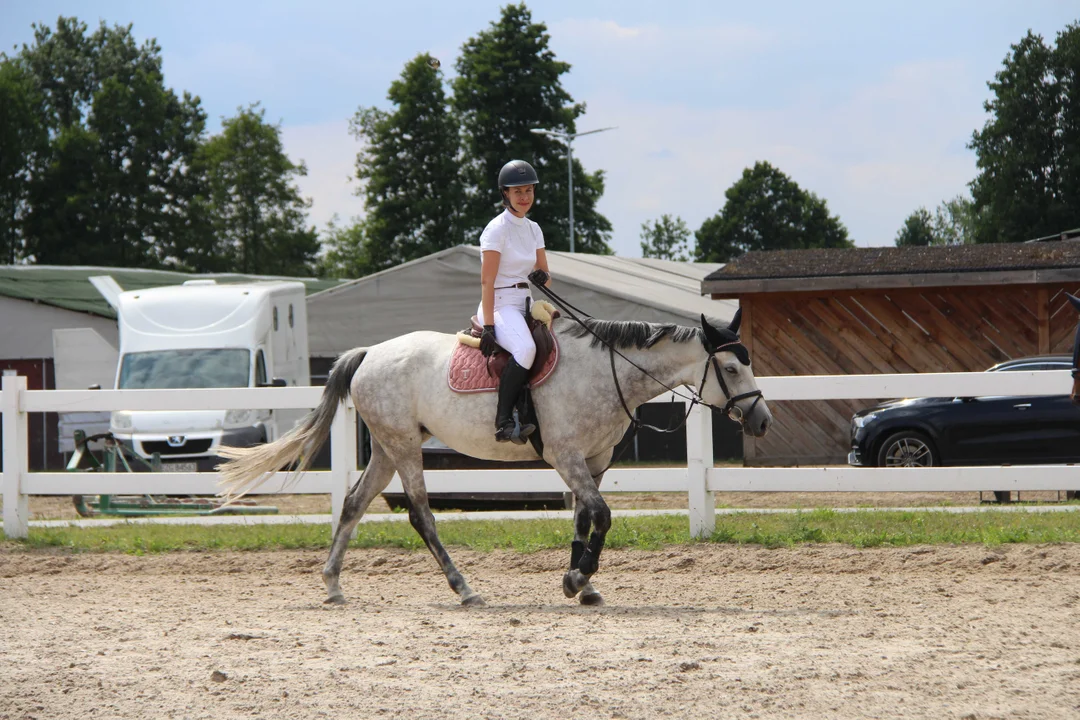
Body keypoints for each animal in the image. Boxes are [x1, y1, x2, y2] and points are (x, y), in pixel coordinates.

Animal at [214, 310, 773, 608]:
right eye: (729, 368)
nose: (762, 420)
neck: (607, 370)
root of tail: (370, 353)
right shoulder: (566, 455)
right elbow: (602, 514)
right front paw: (579, 579)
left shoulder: (593, 459)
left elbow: (584, 515)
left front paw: (581, 583)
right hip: (404, 447)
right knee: (420, 514)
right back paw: (463, 588)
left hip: (389, 449)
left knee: (352, 504)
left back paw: (332, 584)